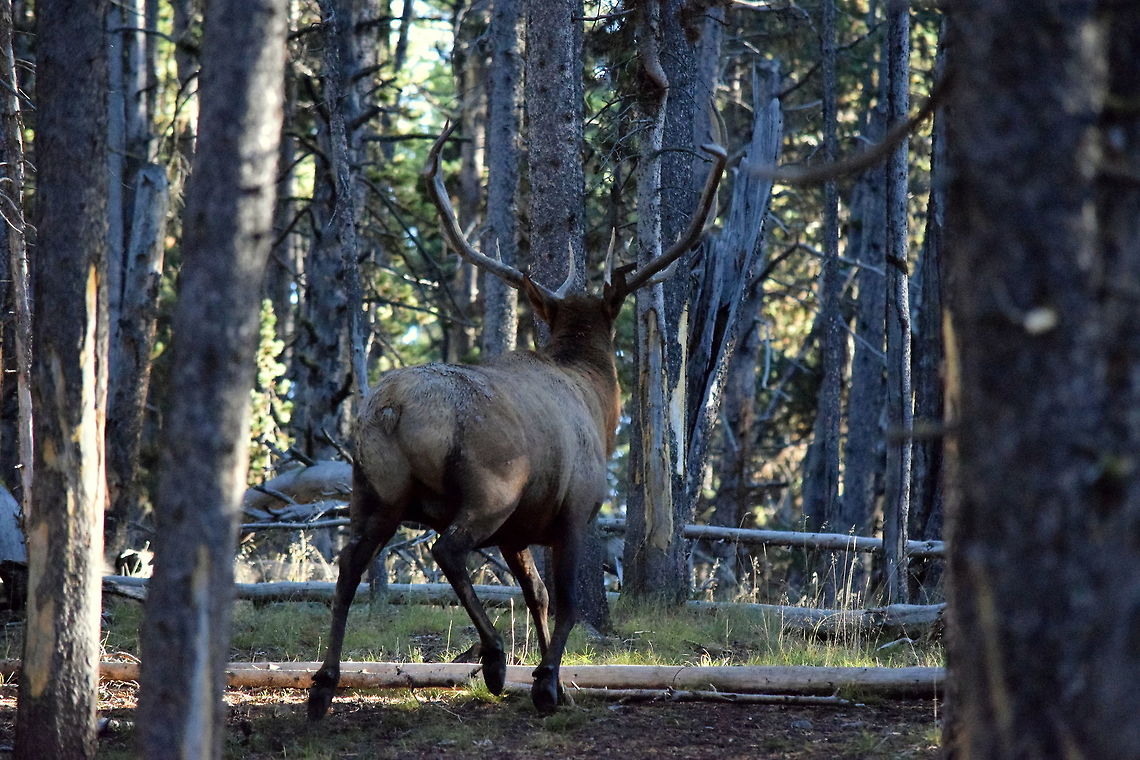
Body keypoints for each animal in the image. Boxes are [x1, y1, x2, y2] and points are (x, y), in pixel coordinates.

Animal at [307, 122, 727, 719]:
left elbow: (537, 595)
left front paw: (553, 678)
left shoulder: (518, 533)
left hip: (373, 489)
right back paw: (493, 659)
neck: (598, 403)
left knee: (348, 565)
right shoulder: (576, 509)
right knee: (446, 550)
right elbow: (568, 600)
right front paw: (549, 683)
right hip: (491, 487)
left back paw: (324, 684)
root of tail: (391, 408)